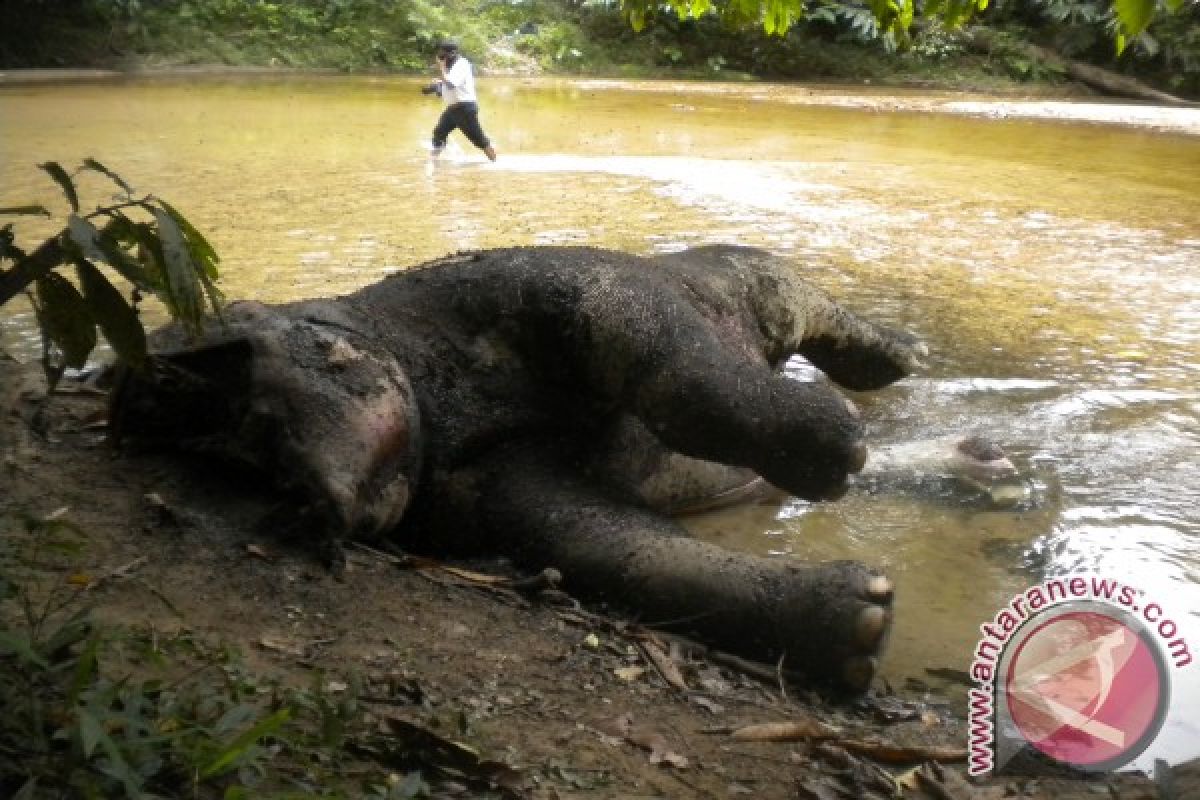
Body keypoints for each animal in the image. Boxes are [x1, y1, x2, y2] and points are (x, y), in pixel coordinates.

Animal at [110, 244, 926, 695]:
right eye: (259, 474)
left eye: (265, 422)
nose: (307, 502)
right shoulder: (503, 494)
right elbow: (635, 557)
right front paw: (863, 626)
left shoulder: (577, 292)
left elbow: (682, 378)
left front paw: (837, 456)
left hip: (737, 277)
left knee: (806, 305)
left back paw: (901, 359)